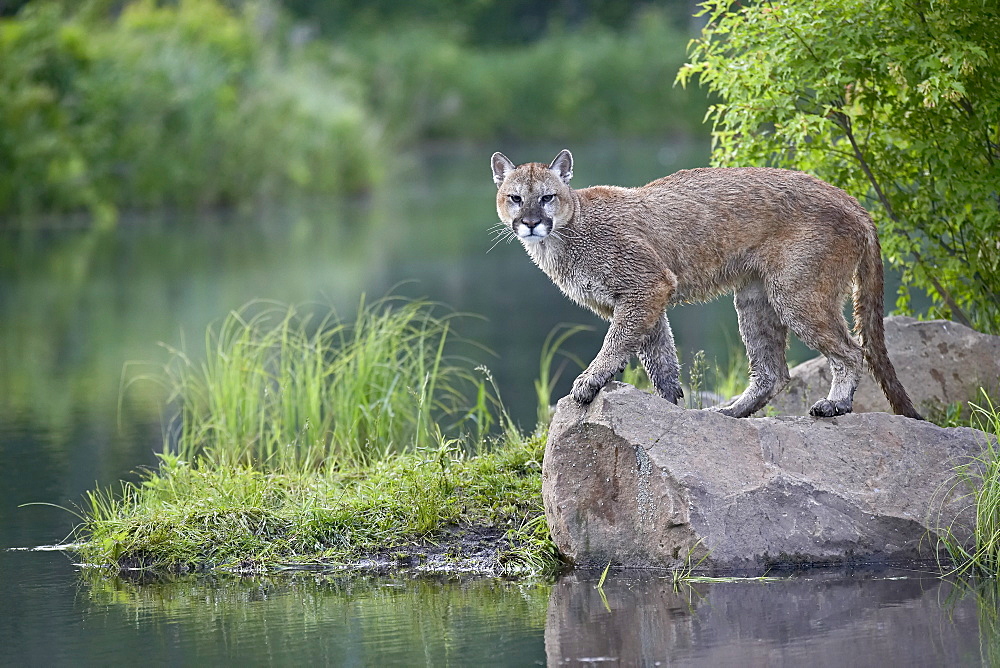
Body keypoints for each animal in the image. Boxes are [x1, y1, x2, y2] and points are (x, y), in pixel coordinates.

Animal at [492, 152, 920, 420]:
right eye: (515, 198)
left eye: (547, 197)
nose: (530, 223)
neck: (565, 235)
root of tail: (852, 200)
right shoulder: (641, 298)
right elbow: (659, 355)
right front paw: (668, 404)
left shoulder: (646, 285)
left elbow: (617, 342)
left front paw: (589, 381)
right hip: (754, 297)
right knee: (773, 372)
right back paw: (729, 412)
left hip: (796, 292)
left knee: (851, 351)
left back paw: (835, 405)